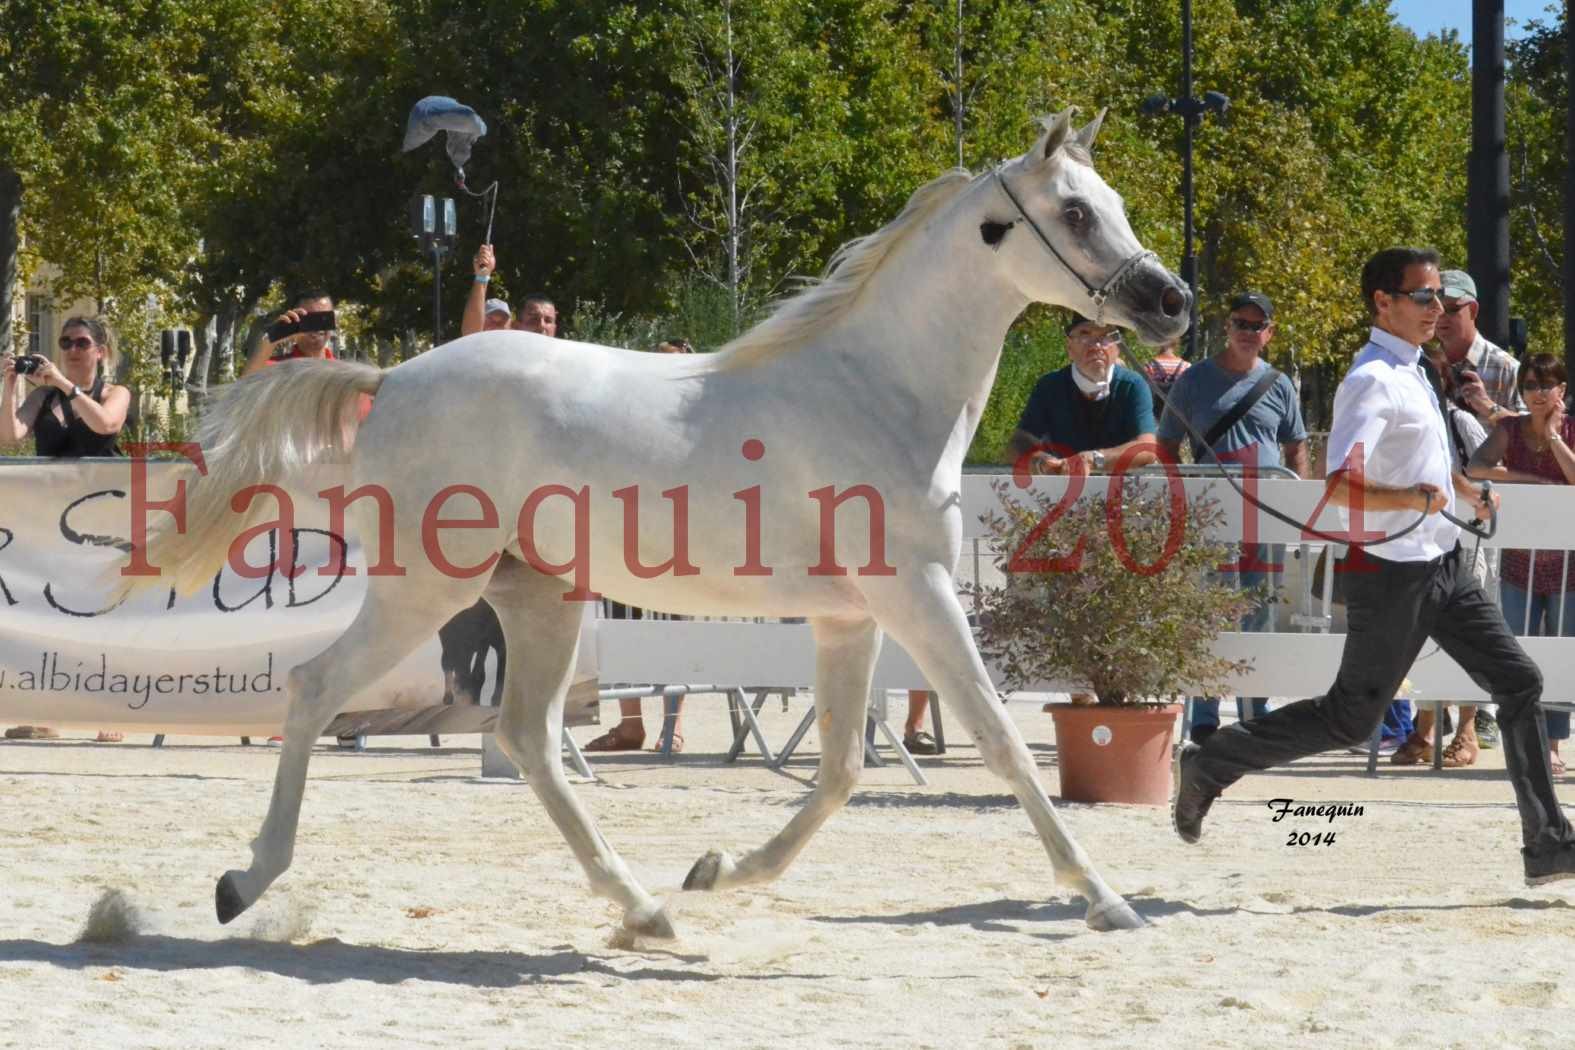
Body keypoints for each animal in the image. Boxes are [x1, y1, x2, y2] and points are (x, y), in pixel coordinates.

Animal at [135, 110, 1184, 938]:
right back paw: (244, 882)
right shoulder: (916, 597)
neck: (874, 391)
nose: (1168, 302)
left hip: (538, 597)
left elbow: (842, 767)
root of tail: (390, 379)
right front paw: (1104, 899)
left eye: (1111, 199)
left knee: (528, 738)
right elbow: (998, 738)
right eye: (1076, 212)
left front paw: (719, 872)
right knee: (317, 691)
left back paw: (647, 910)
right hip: (427, 589)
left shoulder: (848, 618)